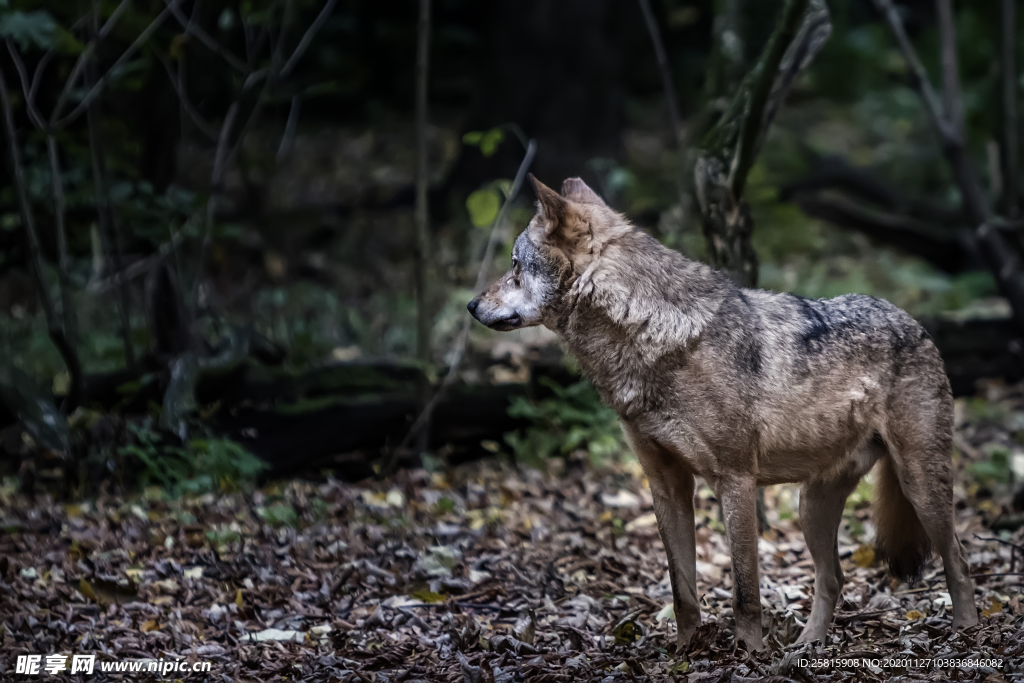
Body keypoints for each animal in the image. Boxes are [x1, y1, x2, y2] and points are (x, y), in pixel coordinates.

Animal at [468, 175, 978, 651]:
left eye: (514, 265)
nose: (472, 305)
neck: (649, 336)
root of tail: (913, 321)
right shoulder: (667, 484)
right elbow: (683, 591)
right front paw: (685, 652)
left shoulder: (735, 479)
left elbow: (744, 593)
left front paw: (748, 655)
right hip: (811, 507)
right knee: (834, 578)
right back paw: (806, 646)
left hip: (919, 485)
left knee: (957, 558)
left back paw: (967, 633)